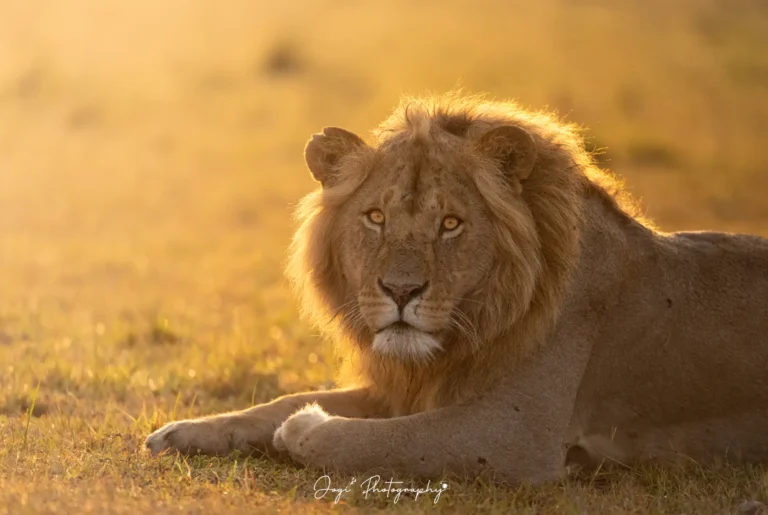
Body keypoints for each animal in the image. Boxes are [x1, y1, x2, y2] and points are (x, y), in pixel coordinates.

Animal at [145, 93, 768, 485]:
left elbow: (369, 442)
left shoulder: (513, 434)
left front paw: (305, 427)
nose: (400, 291)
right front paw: (181, 432)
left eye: (451, 224)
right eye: (375, 217)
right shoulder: (412, 386)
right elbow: (282, 400)